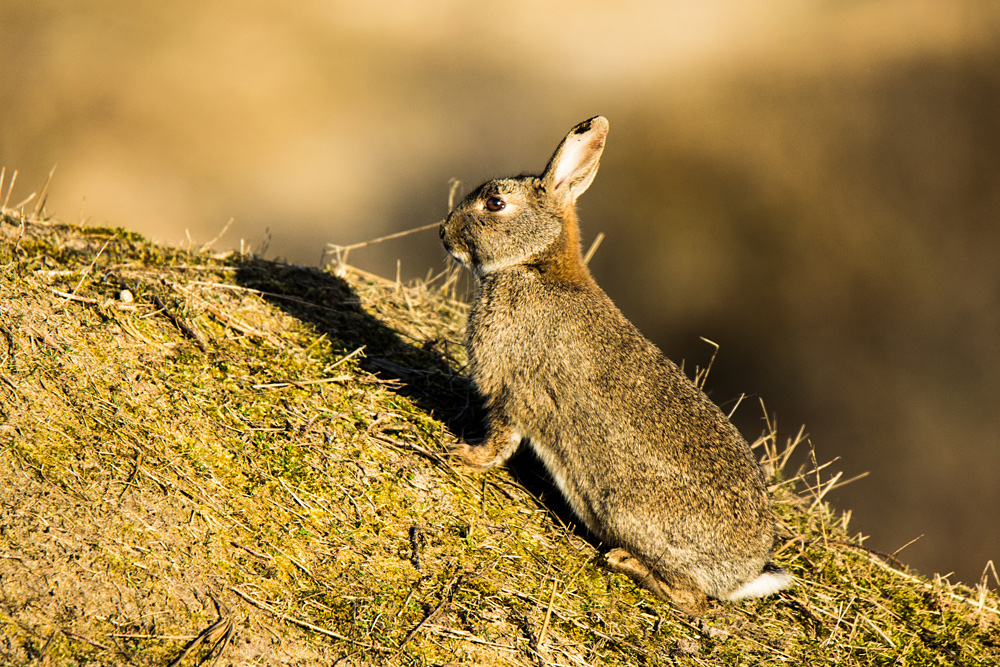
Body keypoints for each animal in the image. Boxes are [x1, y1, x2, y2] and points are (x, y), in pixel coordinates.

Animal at [438, 116, 788, 616]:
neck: (536, 264)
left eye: (495, 203)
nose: (443, 233)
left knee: (694, 600)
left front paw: (462, 456)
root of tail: (743, 576)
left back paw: (627, 563)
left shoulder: (513, 388)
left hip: (629, 512)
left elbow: (500, 438)